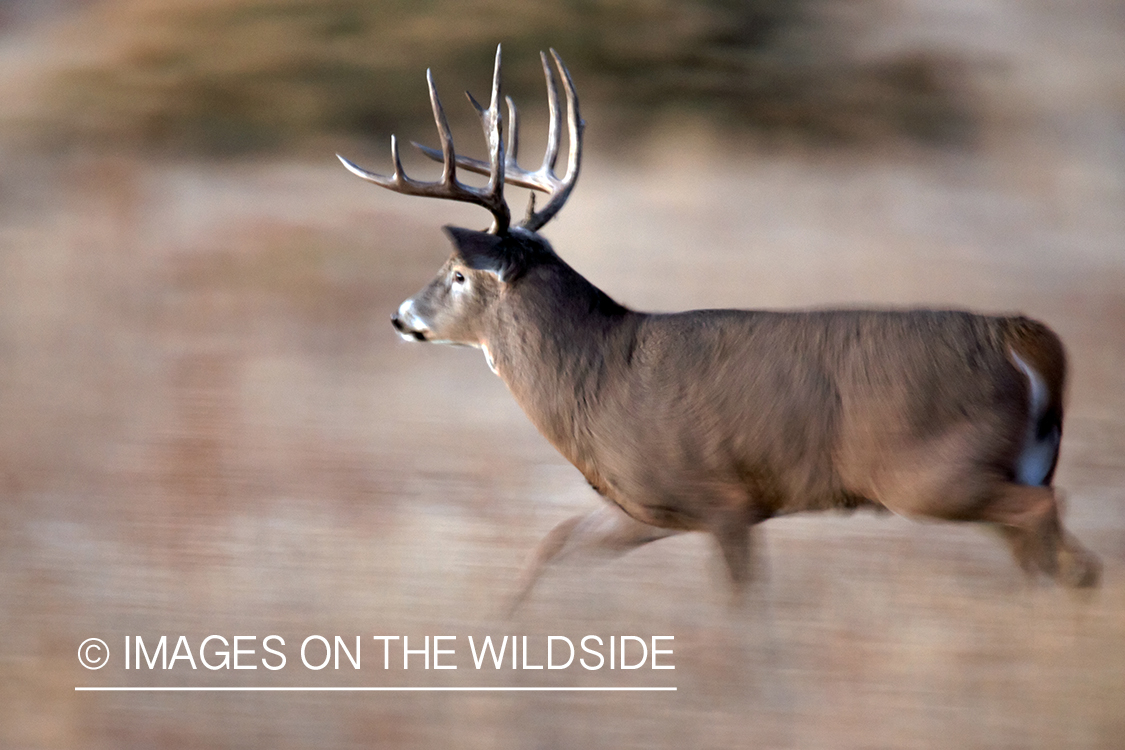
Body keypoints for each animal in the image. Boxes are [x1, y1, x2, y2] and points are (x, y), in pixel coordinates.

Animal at [337, 45, 1102, 611]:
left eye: (456, 273)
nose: (400, 317)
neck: (596, 377)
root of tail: (1025, 338)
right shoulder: (644, 504)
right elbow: (550, 547)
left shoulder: (723, 496)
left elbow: (740, 608)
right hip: (1007, 461)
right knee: (1060, 552)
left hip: (930, 473)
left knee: (1046, 518)